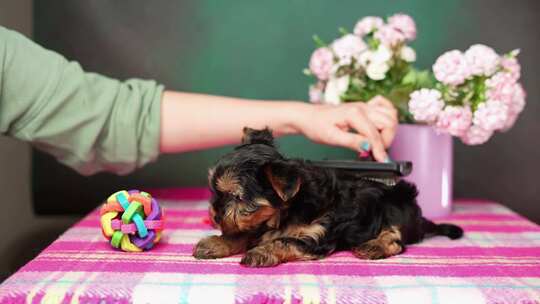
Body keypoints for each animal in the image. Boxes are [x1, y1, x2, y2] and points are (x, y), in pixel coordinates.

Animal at [192, 127, 462, 268]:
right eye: (215, 192)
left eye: (236, 197)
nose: (214, 216)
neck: (288, 211)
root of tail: (420, 219)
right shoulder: (259, 223)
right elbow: (242, 233)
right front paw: (216, 243)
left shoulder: (316, 237)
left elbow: (285, 241)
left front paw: (260, 252)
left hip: (398, 203)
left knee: (396, 239)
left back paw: (374, 246)